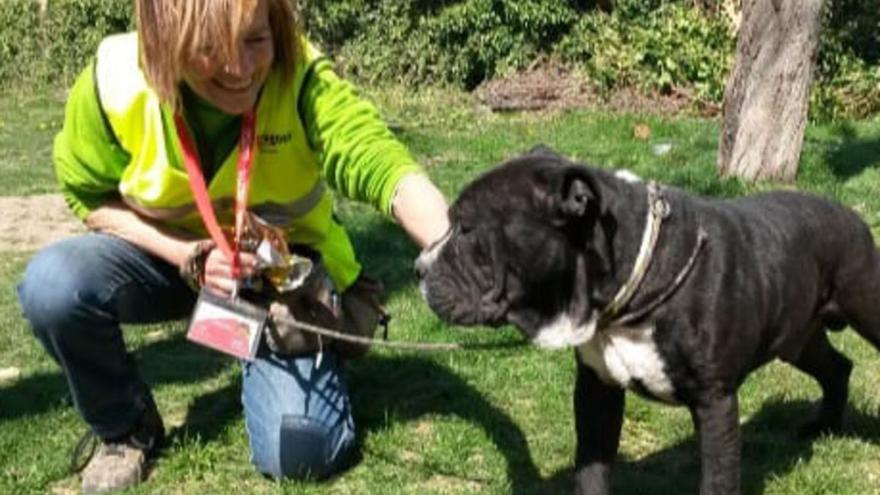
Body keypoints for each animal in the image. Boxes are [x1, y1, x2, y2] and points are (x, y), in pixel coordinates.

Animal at [416, 145, 880, 494]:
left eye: (466, 230)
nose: (419, 267)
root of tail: (849, 213)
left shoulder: (714, 401)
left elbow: (717, 480)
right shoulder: (596, 392)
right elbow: (592, 472)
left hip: (864, 306)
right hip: (798, 339)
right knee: (837, 367)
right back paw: (823, 426)